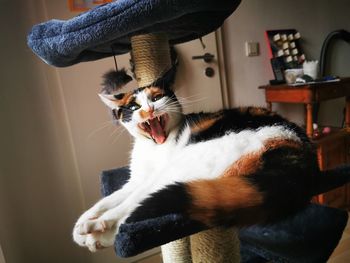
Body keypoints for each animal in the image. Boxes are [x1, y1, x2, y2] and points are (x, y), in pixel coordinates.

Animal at [72, 75, 348, 253]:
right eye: (133, 106)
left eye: (157, 98)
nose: (148, 109)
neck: (154, 147)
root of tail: (299, 150)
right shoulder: (136, 179)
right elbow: (107, 199)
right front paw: (80, 225)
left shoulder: (151, 178)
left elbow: (126, 202)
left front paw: (94, 227)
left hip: (186, 161)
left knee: (140, 204)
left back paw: (100, 229)